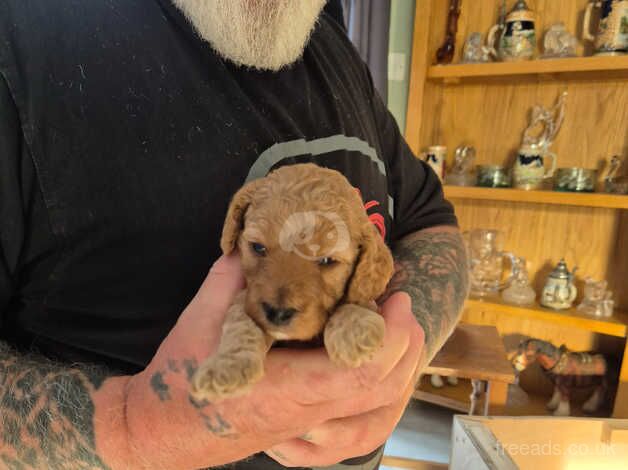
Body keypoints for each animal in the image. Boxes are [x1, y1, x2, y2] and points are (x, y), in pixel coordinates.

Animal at [190, 163, 392, 402]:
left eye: (327, 260)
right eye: (258, 247)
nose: (277, 313)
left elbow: (357, 301)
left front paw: (354, 332)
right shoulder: (247, 295)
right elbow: (240, 317)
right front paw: (226, 368)